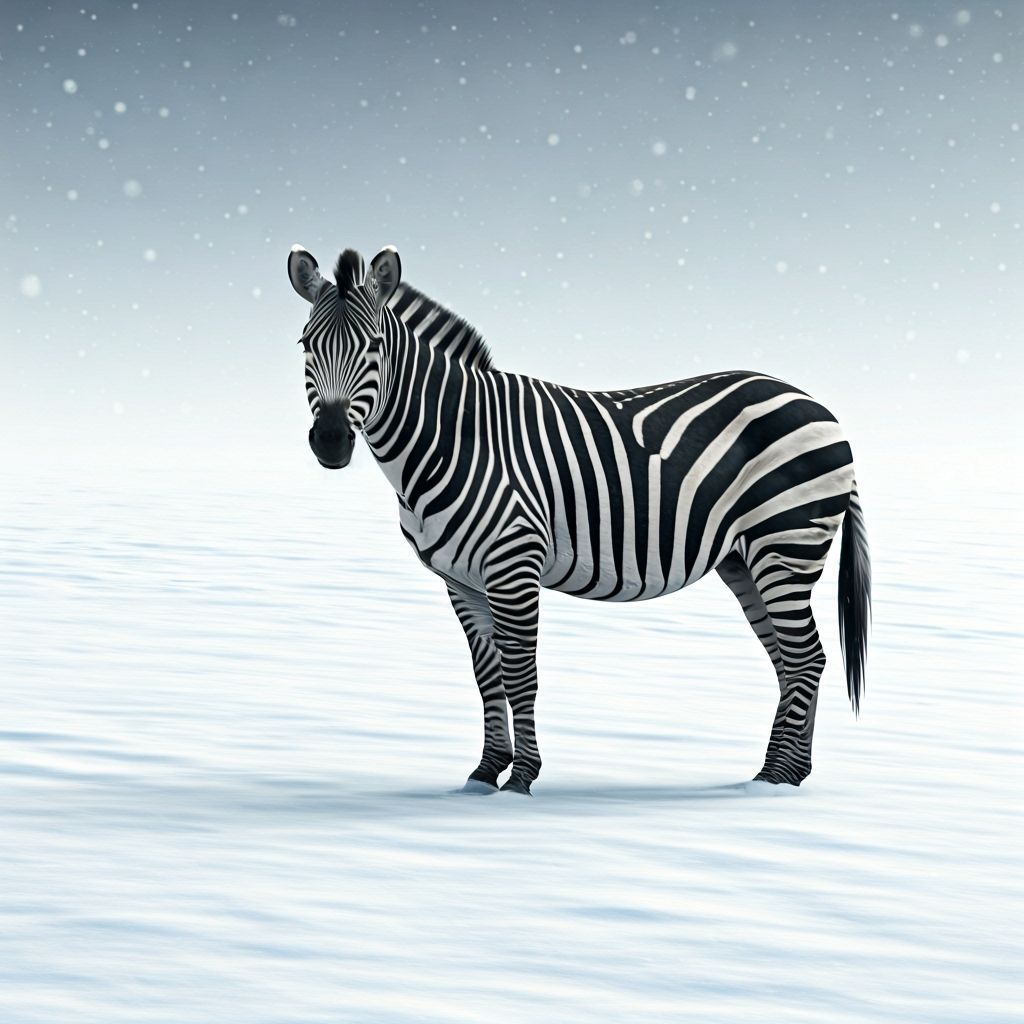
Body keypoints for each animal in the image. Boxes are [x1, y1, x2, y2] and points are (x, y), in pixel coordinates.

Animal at [287, 243, 871, 794]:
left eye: (374, 345)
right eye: (306, 345)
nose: (331, 442)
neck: (456, 439)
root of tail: (818, 406)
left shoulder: (513, 565)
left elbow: (521, 674)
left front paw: (521, 779)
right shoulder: (461, 580)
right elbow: (487, 676)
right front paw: (484, 773)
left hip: (785, 545)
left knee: (807, 657)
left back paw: (773, 779)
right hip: (744, 561)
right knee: (792, 661)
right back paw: (787, 776)